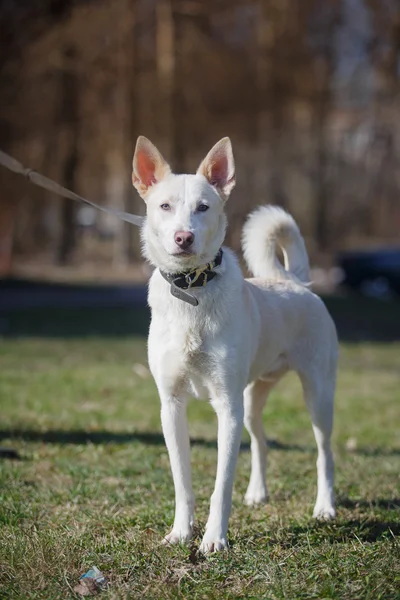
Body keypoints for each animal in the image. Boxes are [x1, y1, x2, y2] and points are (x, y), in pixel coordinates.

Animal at [132, 135, 338, 552]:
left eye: (203, 207)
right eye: (165, 206)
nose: (183, 238)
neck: (192, 290)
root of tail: (294, 282)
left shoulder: (226, 407)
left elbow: (221, 484)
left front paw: (214, 539)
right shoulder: (171, 406)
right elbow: (182, 481)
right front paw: (180, 532)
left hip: (317, 396)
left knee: (324, 453)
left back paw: (324, 507)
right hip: (251, 398)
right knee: (260, 441)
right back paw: (258, 493)